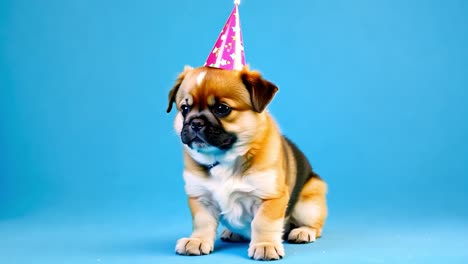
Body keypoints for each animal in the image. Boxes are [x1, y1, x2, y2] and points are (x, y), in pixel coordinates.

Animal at [166, 65, 328, 260]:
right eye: (184, 108)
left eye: (222, 108)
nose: (195, 123)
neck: (223, 159)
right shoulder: (201, 198)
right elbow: (202, 222)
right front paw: (197, 240)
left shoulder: (269, 198)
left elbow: (262, 223)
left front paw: (265, 245)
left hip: (309, 203)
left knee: (314, 226)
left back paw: (303, 232)